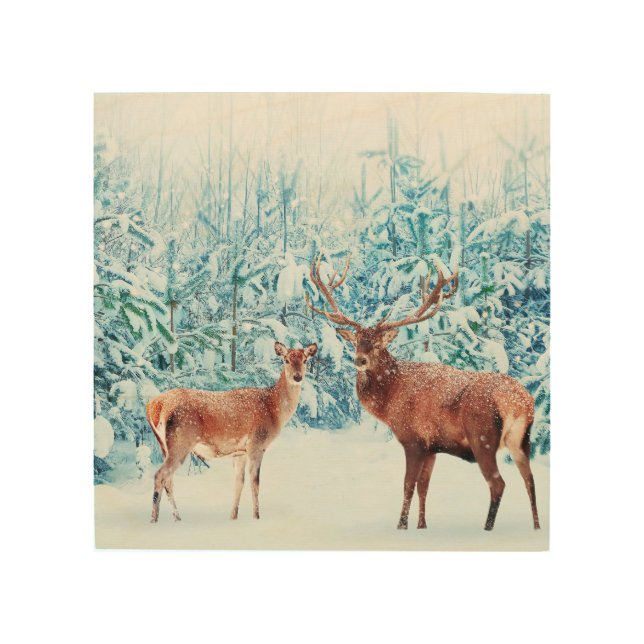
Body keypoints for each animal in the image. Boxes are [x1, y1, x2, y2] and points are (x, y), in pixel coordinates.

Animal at [145, 341, 318, 523]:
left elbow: (238, 483)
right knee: (160, 476)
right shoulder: (257, 443)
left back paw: (177, 518)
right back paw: (154, 520)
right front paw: (256, 517)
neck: (274, 410)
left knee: (169, 480)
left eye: (305, 360)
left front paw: (233, 517)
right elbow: (255, 482)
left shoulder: (240, 451)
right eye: (286, 360)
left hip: (165, 445)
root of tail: (153, 406)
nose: (297, 377)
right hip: (181, 440)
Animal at [305, 254, 539, 532]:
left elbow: (408, 485)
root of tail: (521, 401)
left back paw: (487, 529)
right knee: (530, 480)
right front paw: (422, 526)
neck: (390, 401)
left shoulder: (413, 440)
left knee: (498, 483)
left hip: (482, 437)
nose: (359, 360)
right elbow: (424, 487)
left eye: (377, 344)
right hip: (522, 440)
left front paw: (401, 526)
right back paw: (536, 527)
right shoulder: (432, 447)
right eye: (356, 342)